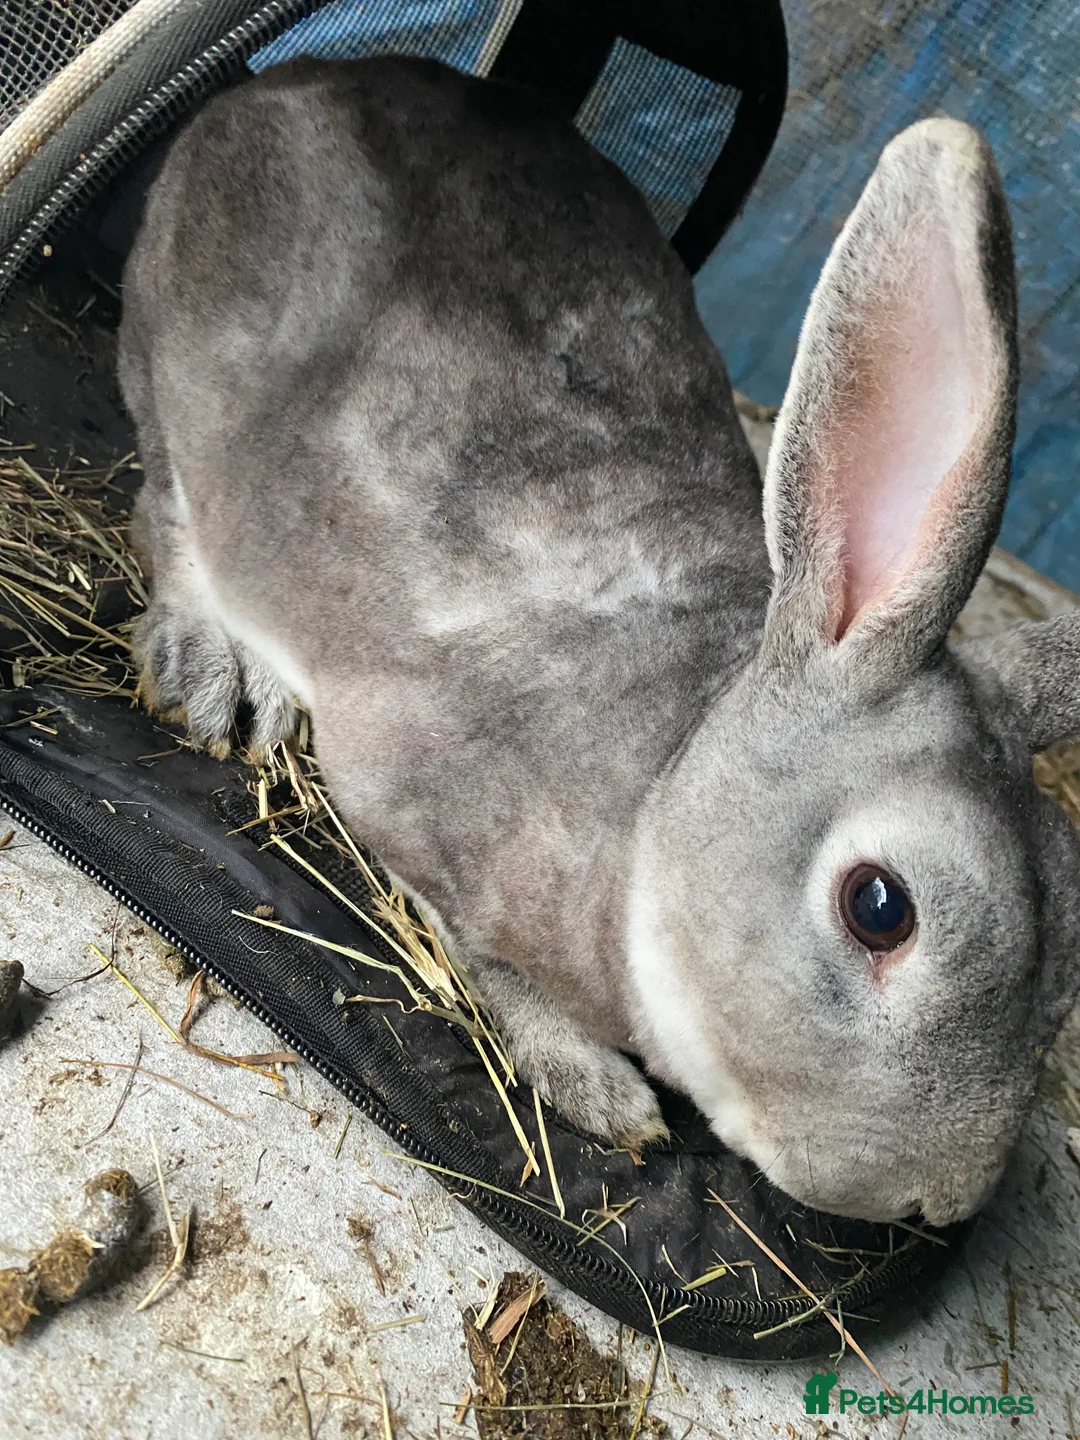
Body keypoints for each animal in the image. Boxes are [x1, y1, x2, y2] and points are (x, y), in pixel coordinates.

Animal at [117, 55, 1080, 1226]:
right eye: (880, 908)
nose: (937, 1204)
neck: (657, 798)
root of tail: (286, 79)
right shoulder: (407, 804)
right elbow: (482, 958)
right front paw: (600, 1091)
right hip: (174, 363)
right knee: (165, 504)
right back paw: (212, 669)